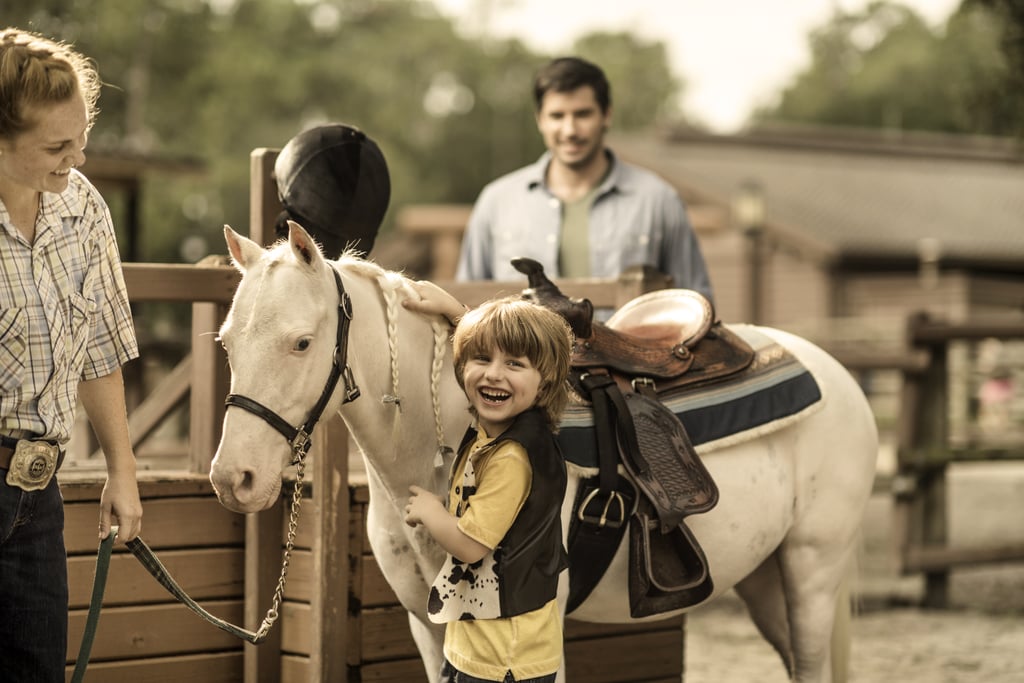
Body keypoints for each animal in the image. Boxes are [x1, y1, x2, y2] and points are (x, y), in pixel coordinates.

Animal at [211, 225, 876, 683]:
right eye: (225, 342)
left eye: (301, 342)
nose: (233, 477)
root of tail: (839, 377)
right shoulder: (428, 627)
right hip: (766, 578)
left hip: (812, 570)